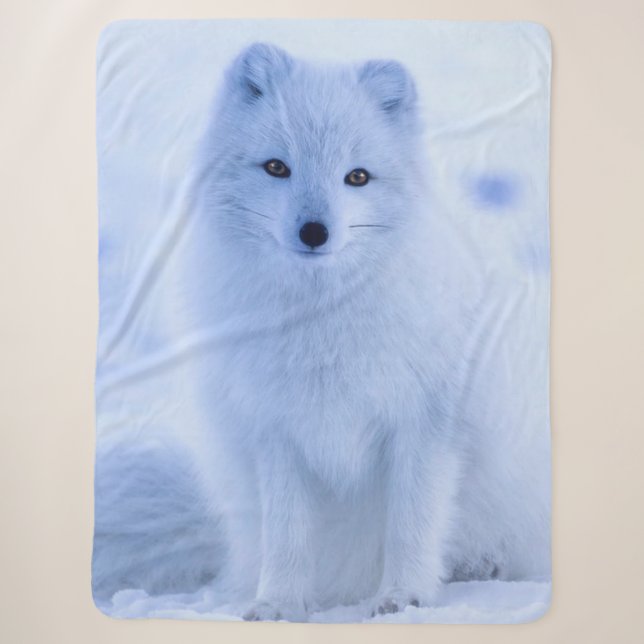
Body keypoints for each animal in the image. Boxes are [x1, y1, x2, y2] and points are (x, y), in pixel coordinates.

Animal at [93, 42, 550, 622]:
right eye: (276, 167)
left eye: (357, 177)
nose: (314, 231)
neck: (322, 319)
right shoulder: (276, 432)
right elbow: (287, 533)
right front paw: (279, 604)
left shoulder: (427, 423)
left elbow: (413, 522)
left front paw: (404, 598)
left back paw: (481, 566)